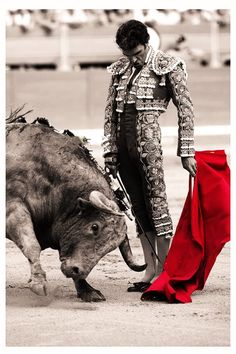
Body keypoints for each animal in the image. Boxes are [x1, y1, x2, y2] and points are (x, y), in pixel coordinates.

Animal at [6, 113, 146, 302]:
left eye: (110, 248)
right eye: (94, 227)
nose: (76, 270)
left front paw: (88, 290)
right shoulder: (13, 209)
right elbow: (32, 245)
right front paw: (39, 284)